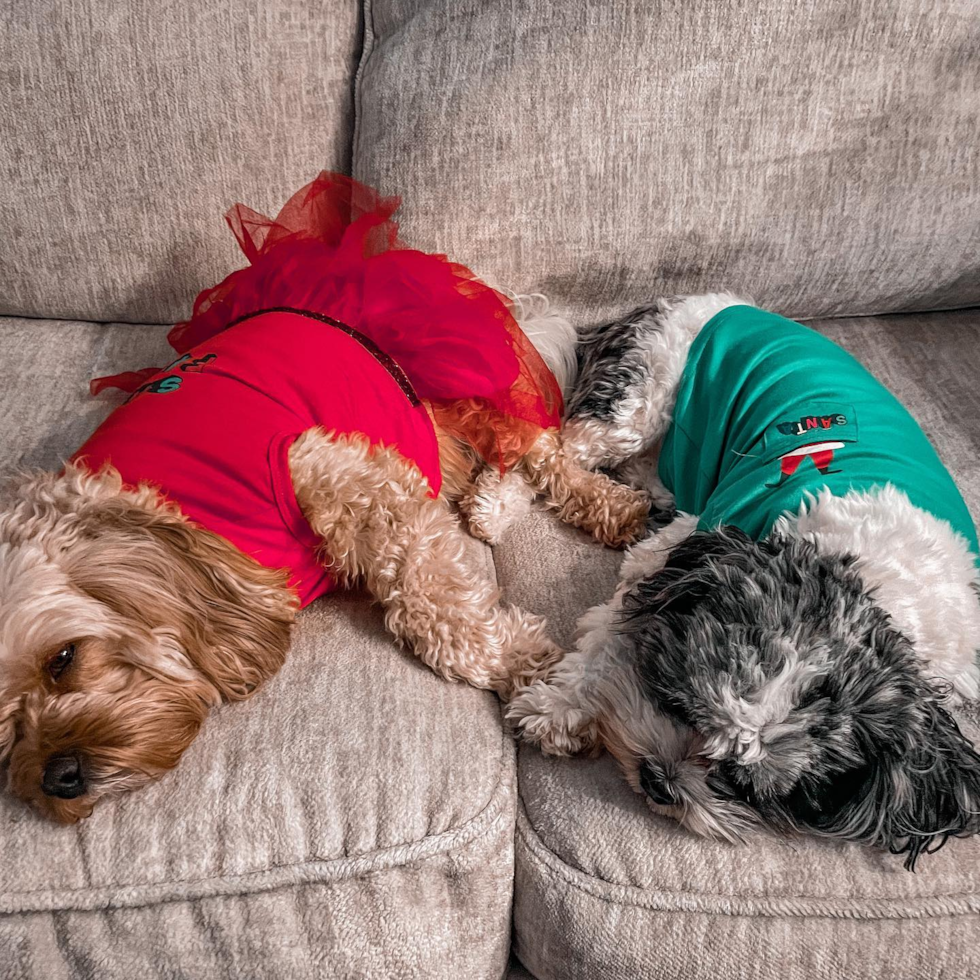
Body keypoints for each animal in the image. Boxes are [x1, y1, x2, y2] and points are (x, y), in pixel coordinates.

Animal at [506, 292, 980, 872]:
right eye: (676, 706)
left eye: (740, 782)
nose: (659, 782)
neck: (872, 577)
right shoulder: (680, 558)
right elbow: (610, 641)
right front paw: (558, 708)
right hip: (638, 400)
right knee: (548, 446)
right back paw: (494, 508)